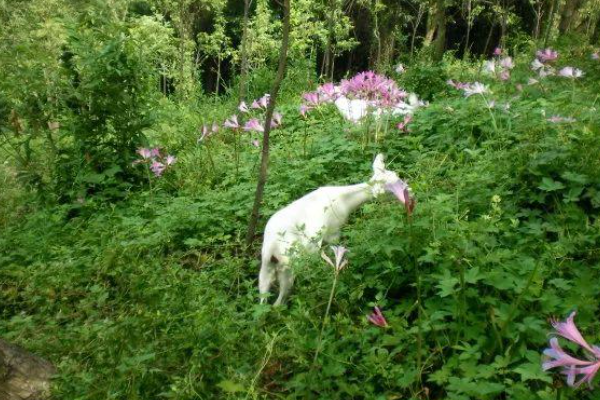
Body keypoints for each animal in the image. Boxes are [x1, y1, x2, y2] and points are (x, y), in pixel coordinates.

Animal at [258, 155, 412, 304]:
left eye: (397, 176)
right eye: (390, 190)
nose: (410, 193)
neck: (345, 201)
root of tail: (271, 248)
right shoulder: (334, 232)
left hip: (267, 268)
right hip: (290, 265)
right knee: (280, 299)